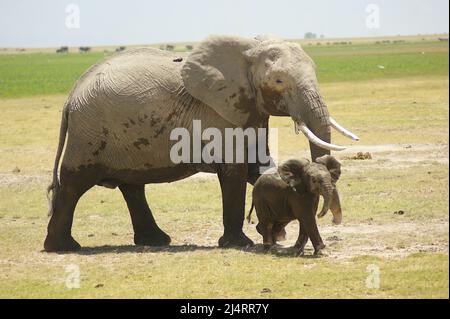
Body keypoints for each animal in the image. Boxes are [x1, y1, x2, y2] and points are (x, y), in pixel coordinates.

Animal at [44, 35, 356, 252]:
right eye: (279, 81)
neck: (247, 49)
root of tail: (71, 97)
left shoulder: (250, 109)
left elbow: (259, 168)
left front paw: (272, 232)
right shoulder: (220, 111)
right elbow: (234, 171)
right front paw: (240, 243)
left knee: (131, 186)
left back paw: (156, 240)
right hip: (89, 133)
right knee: (73, 184)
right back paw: (62, 247)